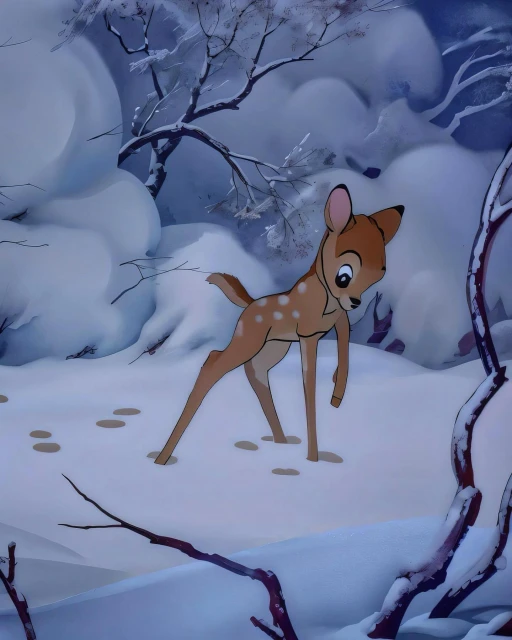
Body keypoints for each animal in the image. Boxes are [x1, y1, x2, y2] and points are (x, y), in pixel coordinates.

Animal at [155, 184, 404, 465]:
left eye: (378, 274)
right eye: (344, 275)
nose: (355, 301)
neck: (326, 300)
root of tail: (249, 304)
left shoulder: (337, 322)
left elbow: (344, 349)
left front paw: (337, 391)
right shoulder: (308, 334)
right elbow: (308, 385)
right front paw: (313, 456)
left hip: (273, 348)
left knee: (256, 375)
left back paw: (282, 441)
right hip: (249, 340)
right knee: (212, 362)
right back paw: (163, 457)